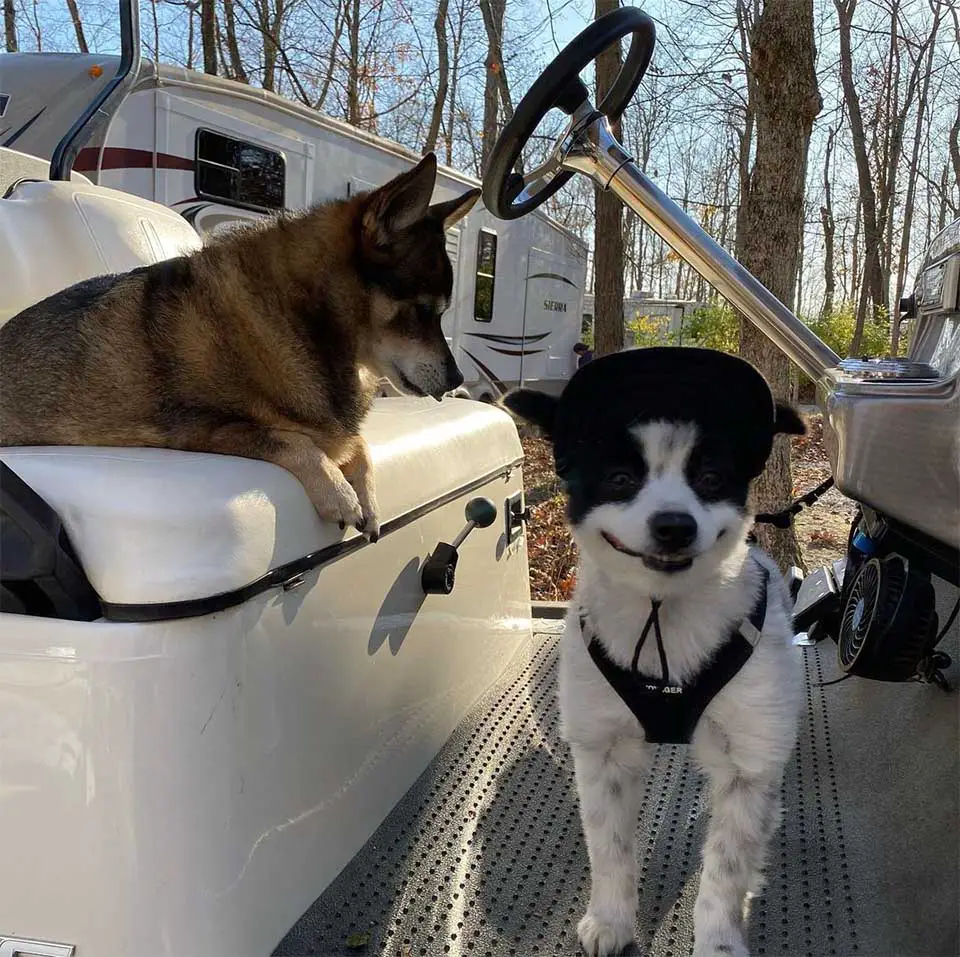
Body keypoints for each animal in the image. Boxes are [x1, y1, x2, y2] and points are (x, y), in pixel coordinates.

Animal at [0, 151, 480, 536]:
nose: (458, 379)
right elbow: (292, 442)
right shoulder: (207, 428)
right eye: (424, 310)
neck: (293, 315)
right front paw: (339, 492)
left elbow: (358, 446)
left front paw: (368, 495)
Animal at [506, 350, 808, 956]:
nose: (674, 525)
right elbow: (611, 850)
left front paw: (719, 940)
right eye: (621, 479)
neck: (664, 613)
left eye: (711, 478)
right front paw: (612, 919)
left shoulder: (748, 762)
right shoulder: (602, 750)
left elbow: (725, 871)